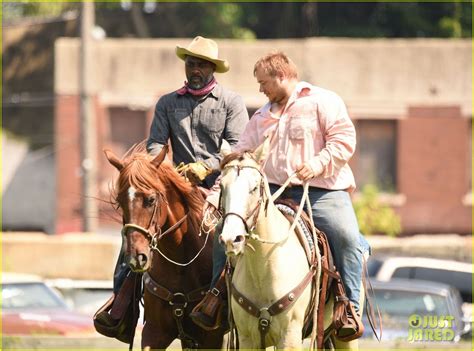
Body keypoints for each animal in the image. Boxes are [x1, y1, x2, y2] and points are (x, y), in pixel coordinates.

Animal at [104, 142, 223, 350]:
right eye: (119, 202)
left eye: (151, 200)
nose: (137, 257)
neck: (181, 262)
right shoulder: (154, 332)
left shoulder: (213, 338)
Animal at [219, 150, 362, 350]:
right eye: (222, 186)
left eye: (254, 188)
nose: (231, 239)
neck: (263, 267)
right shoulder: (247, 338)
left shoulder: (290, 336)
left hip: (345, 337)